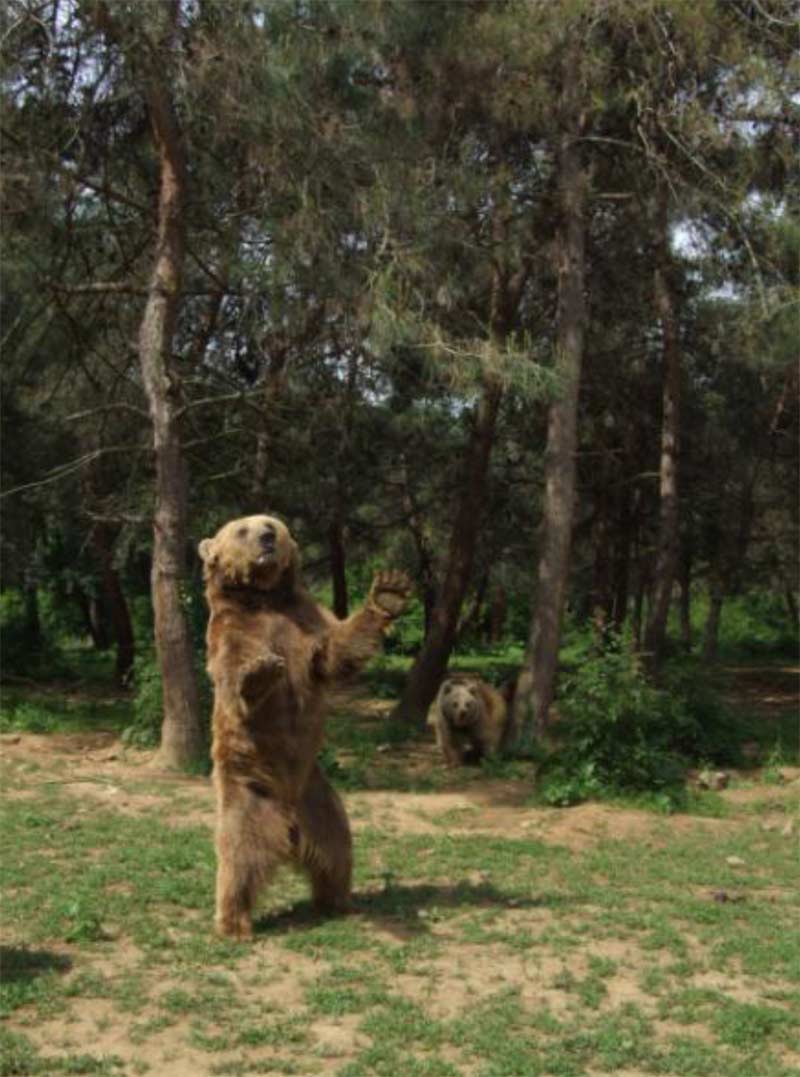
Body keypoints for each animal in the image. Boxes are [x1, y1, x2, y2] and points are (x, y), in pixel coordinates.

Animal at [199, 516, 413, 939]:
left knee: (337, 848)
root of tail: (290, 831)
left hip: (319, 798)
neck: (264, 597)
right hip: (249, 792)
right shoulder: (231, 633)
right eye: (242, 530)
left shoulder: (305, 621)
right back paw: (234, 923)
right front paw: (260, 672)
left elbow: (336, 651)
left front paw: (390, 593)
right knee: (238, 856)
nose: (267, 537)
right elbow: (235, 677)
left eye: (271, 524)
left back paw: (338, 900)